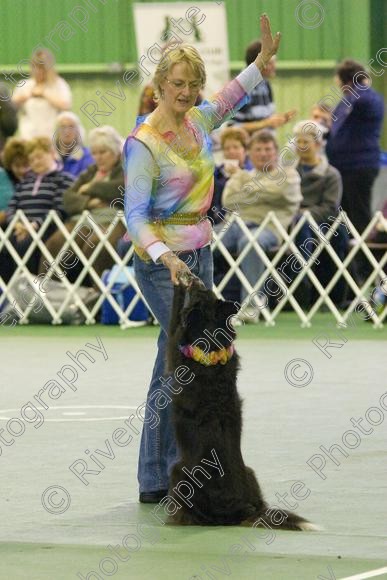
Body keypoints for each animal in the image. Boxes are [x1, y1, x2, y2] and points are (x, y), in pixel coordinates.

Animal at [167, 278, 316, 532]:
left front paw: (177, 281)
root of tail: (240, 510)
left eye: (201, 293)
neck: (211, 342)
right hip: (251, 471)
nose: (196, 279)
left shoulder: (173, 348)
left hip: (178, 473)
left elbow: (174, 315)